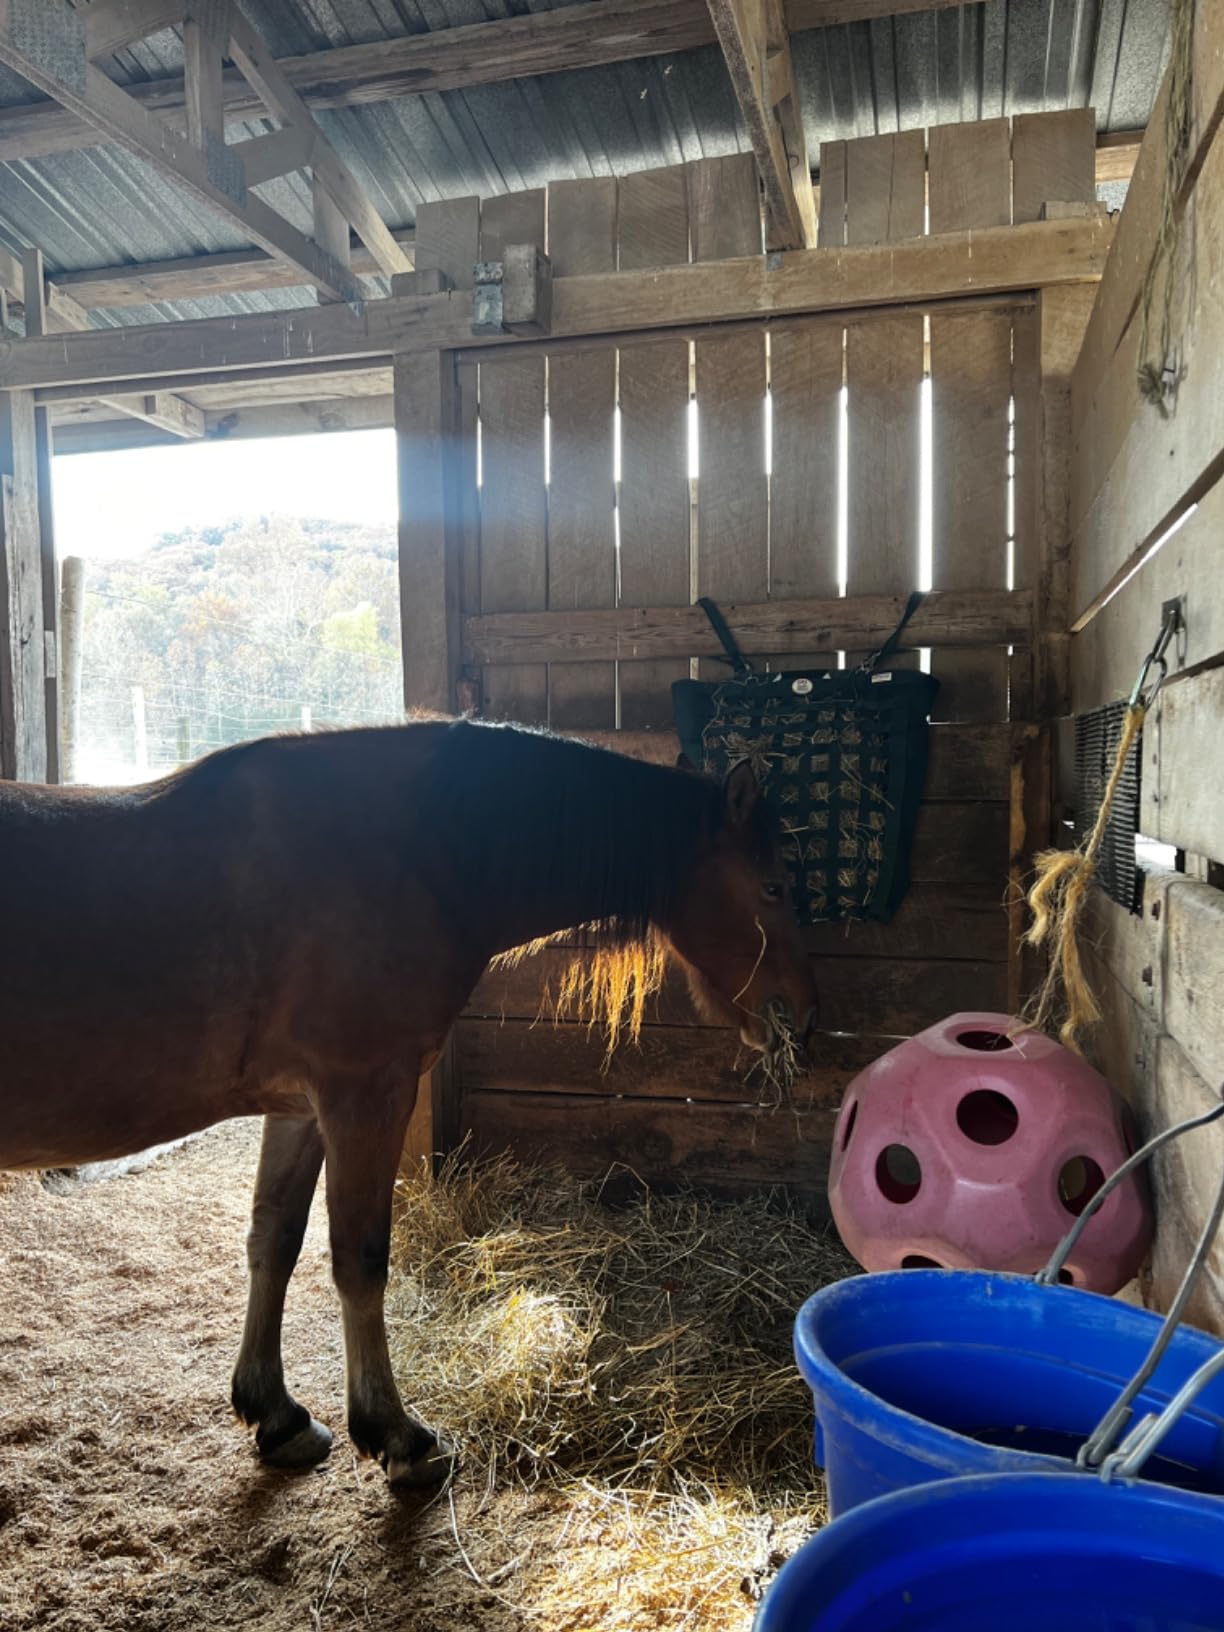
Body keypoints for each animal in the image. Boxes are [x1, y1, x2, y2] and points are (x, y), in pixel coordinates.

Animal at [0, 718, 818, 1487]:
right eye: (774, 887)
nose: (802, 1017)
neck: (411, 856)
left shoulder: (300, 1108)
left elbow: (274, 1240)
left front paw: (276, 1415)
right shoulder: (366, 1094)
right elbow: (359, 1259)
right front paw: (396, 1435)